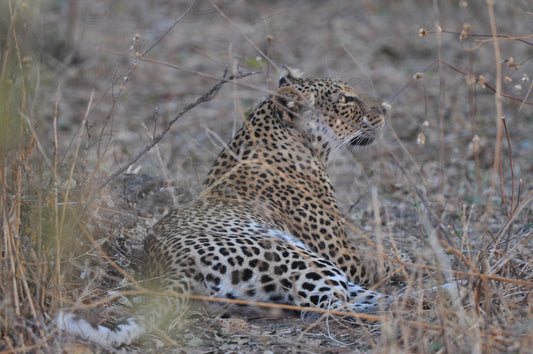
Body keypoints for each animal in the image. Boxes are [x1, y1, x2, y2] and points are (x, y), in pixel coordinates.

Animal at [59, 65, 400, 346]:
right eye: (347, 99)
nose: (386, 108)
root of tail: (172, 266)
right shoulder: (342, 253)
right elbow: (385, 261)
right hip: (301, 255)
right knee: (332, 304)